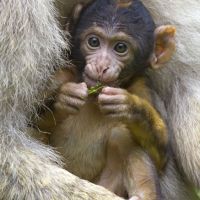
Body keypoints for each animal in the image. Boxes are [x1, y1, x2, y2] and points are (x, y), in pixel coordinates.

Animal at [38, 0, 176, 199]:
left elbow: (162, 156)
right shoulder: (61, 75)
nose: (101, 65)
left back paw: (143, 194)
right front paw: (64, 99)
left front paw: (130, 107)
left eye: (120, 47)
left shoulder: (141, 86)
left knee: (122, 134)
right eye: (94, 42)